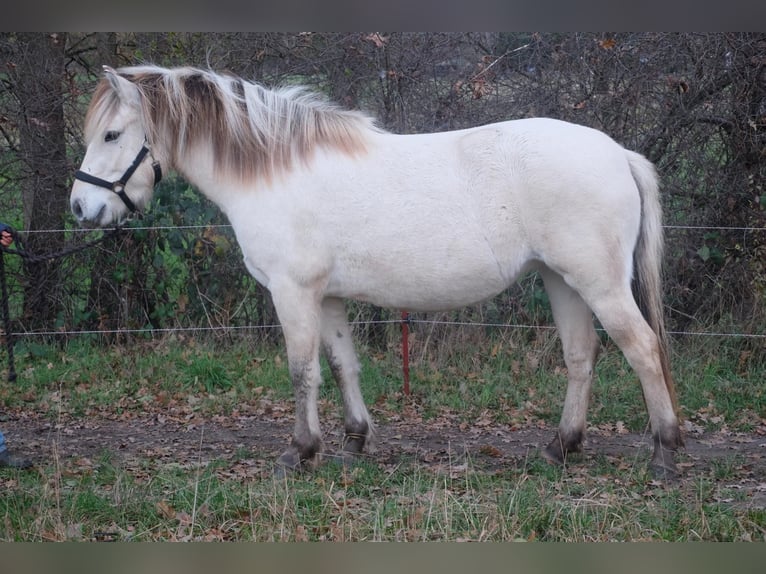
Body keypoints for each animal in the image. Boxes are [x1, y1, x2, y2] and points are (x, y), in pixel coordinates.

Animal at [70, 65, 683, 477]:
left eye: (111, 135)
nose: (81, 208)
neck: (274, 171)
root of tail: (618, 154)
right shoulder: (328, 297)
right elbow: (343, 366)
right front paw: (354, 440)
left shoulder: (293, 293)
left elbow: (302, 370)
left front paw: (299, 451)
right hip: (563, 281)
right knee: (581, 356)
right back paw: (562, 445)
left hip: (599, 284)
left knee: (642, 349)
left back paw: (665, 451)